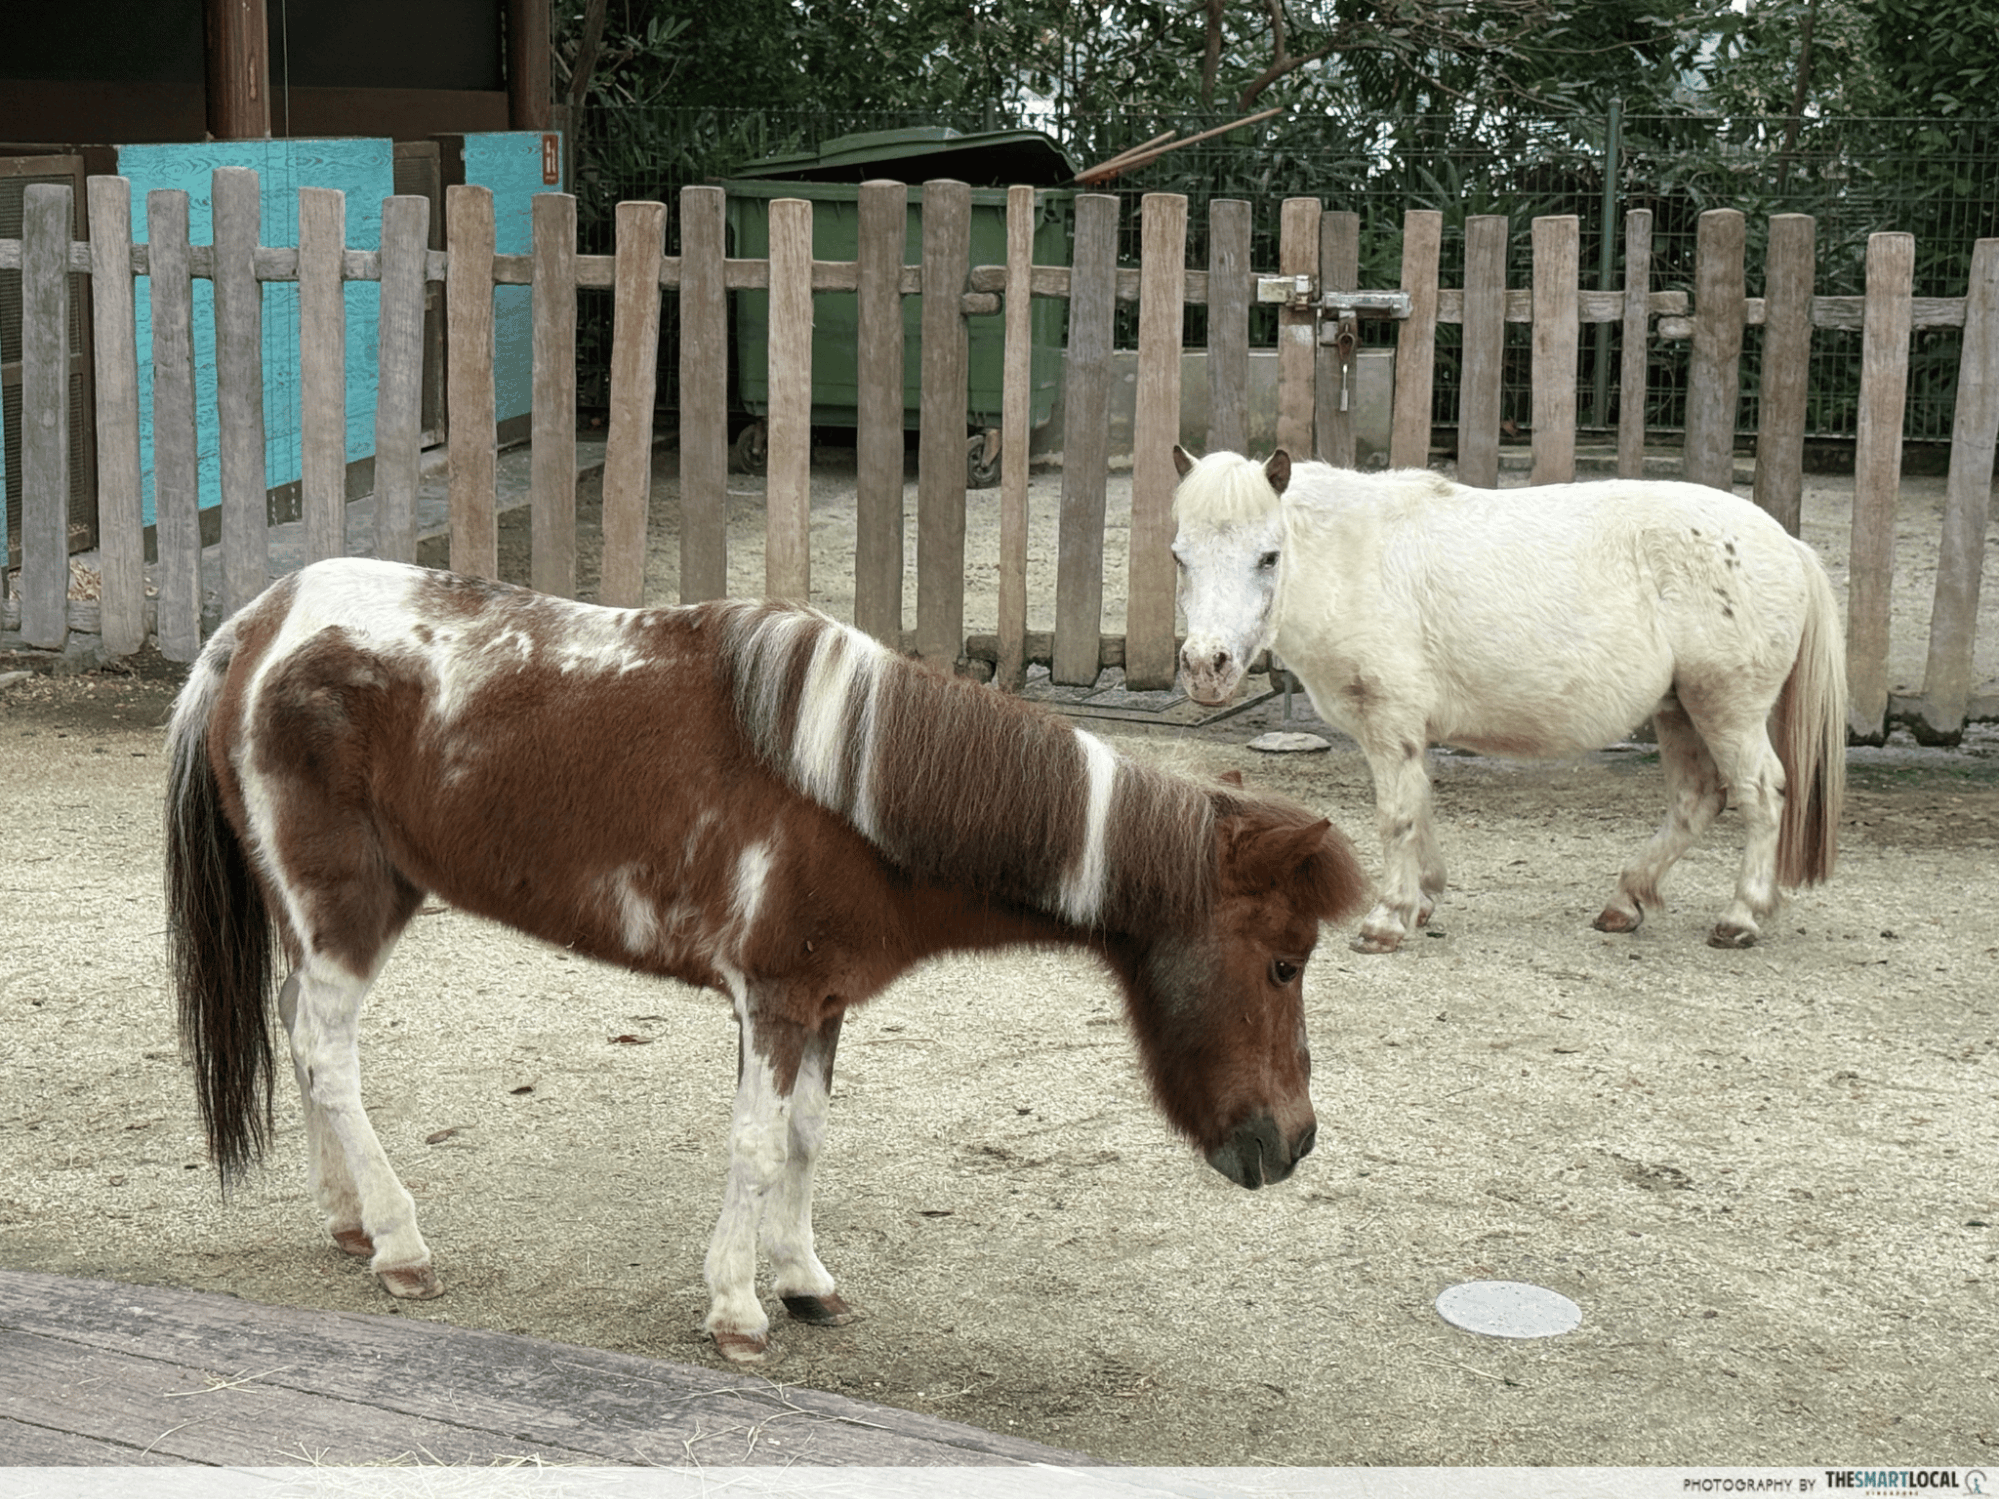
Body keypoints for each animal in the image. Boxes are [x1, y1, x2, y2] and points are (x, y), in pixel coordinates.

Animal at [165, 557, 1366, 1362]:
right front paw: (739, 1309)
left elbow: (804, 1138)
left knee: (298, 1035)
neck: (856, 787)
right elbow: (752, 1144)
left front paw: (804, 1280)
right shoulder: (772, 1003)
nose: (1293, 1141)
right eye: (1284, 964)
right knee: (329, 1055)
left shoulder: (823, 1006)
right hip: (346, 912)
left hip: (322, 916)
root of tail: (259, 624)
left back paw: (345, 1220)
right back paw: (400, 1240)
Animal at [1169, 448, 1846, 955]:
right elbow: (1421, 805)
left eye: (1268, 556)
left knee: (1761, 794)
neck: (1354, 558)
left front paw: (1387, 918)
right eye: (1181, 556)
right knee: (1696, 800)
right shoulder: (1408, 731)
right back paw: (1626, 901)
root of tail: (1785, 543)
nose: (1206, 666)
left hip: (1725, 709)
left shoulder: (1389, 724)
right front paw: (1423, 898)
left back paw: (1741, 916)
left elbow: (1397, 815)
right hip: (1678, 710)